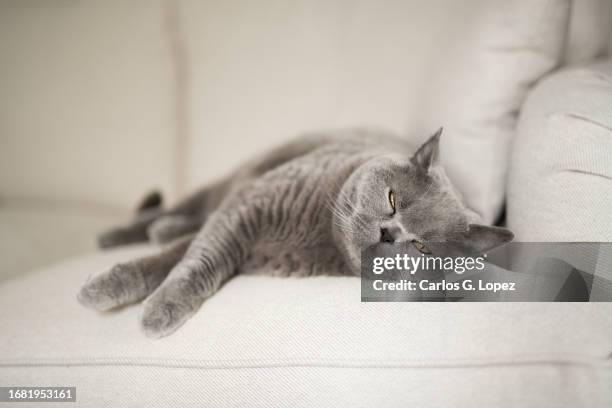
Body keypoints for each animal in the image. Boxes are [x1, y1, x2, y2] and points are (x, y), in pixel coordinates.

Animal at [79, 128, 512, 338]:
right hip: (239, 175)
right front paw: (114, 291)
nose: (389, 234)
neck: (319, 233)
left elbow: (188, 257)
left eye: (422, 247)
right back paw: (122, 233)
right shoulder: (246, 207)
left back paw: (162, 229)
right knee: (184, 206)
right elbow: (194, 260)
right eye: (392, 199)